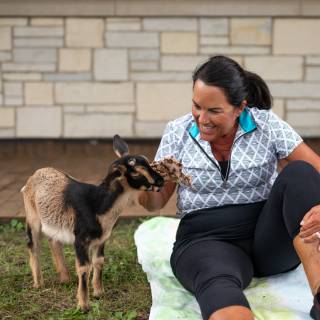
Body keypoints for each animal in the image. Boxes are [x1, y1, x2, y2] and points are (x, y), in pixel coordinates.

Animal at [21, 135, 164, 310]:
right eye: (136, 172)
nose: (161, 181)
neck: (97, 205)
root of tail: (36, 173)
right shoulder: (80, 240)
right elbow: (84, 267)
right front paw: (83, 305)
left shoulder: (102, 239)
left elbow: (99, 261)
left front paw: (99, 293)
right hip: (32, 216)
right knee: (33, 245)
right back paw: (39, 284)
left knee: (54, 241)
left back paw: (65, 279)